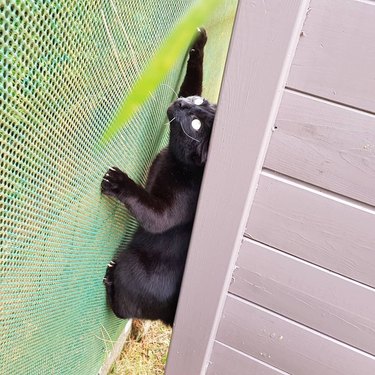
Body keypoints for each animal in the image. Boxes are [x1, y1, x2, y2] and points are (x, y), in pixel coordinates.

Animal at [101, 28, 216, 326]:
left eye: (195, 125)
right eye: (197, 101)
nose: (182, 102)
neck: (174, 159)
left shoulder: (171, 208)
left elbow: (153, 214)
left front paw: (118, 182)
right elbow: (193, 79)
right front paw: (199, 43)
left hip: (132, 265)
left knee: (124, 310)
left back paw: (110, 280)